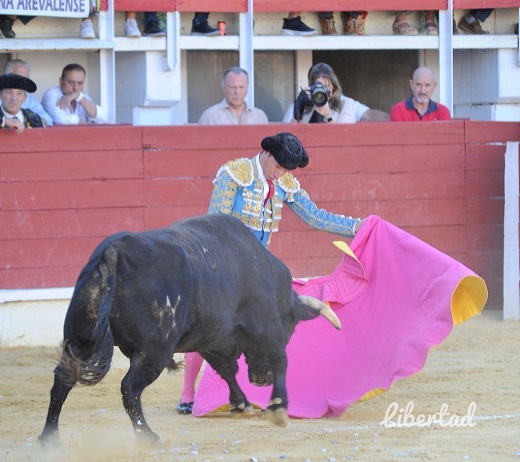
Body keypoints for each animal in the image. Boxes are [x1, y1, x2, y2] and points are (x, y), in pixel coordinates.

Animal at [39, 215, 342, 442]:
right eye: (292, 327)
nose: (260, 380)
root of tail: (114, 251)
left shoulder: (213, 340)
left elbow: (226, 370)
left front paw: (241, 403)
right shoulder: (267, 328)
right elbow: (280, 359)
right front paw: (279, 408)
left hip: (80, 339)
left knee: (62, 380)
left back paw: (49, 438)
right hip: (155, 350)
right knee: (129, 388)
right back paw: (147, 436)